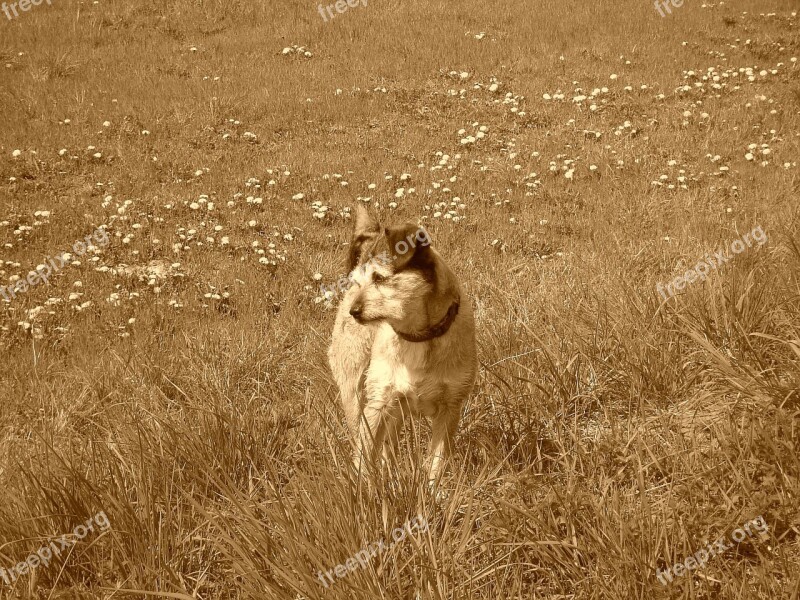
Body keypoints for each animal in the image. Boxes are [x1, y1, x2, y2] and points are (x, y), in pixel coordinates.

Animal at [328, 206, 478, 488]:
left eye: (379, 277)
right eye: (358, 282)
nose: (354, 311)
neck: (416, 337)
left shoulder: (450, 408)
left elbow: (437, 461)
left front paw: (433, 493)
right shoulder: (377, 404)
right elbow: (364, 455)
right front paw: (363, 490)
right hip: (355, 392)